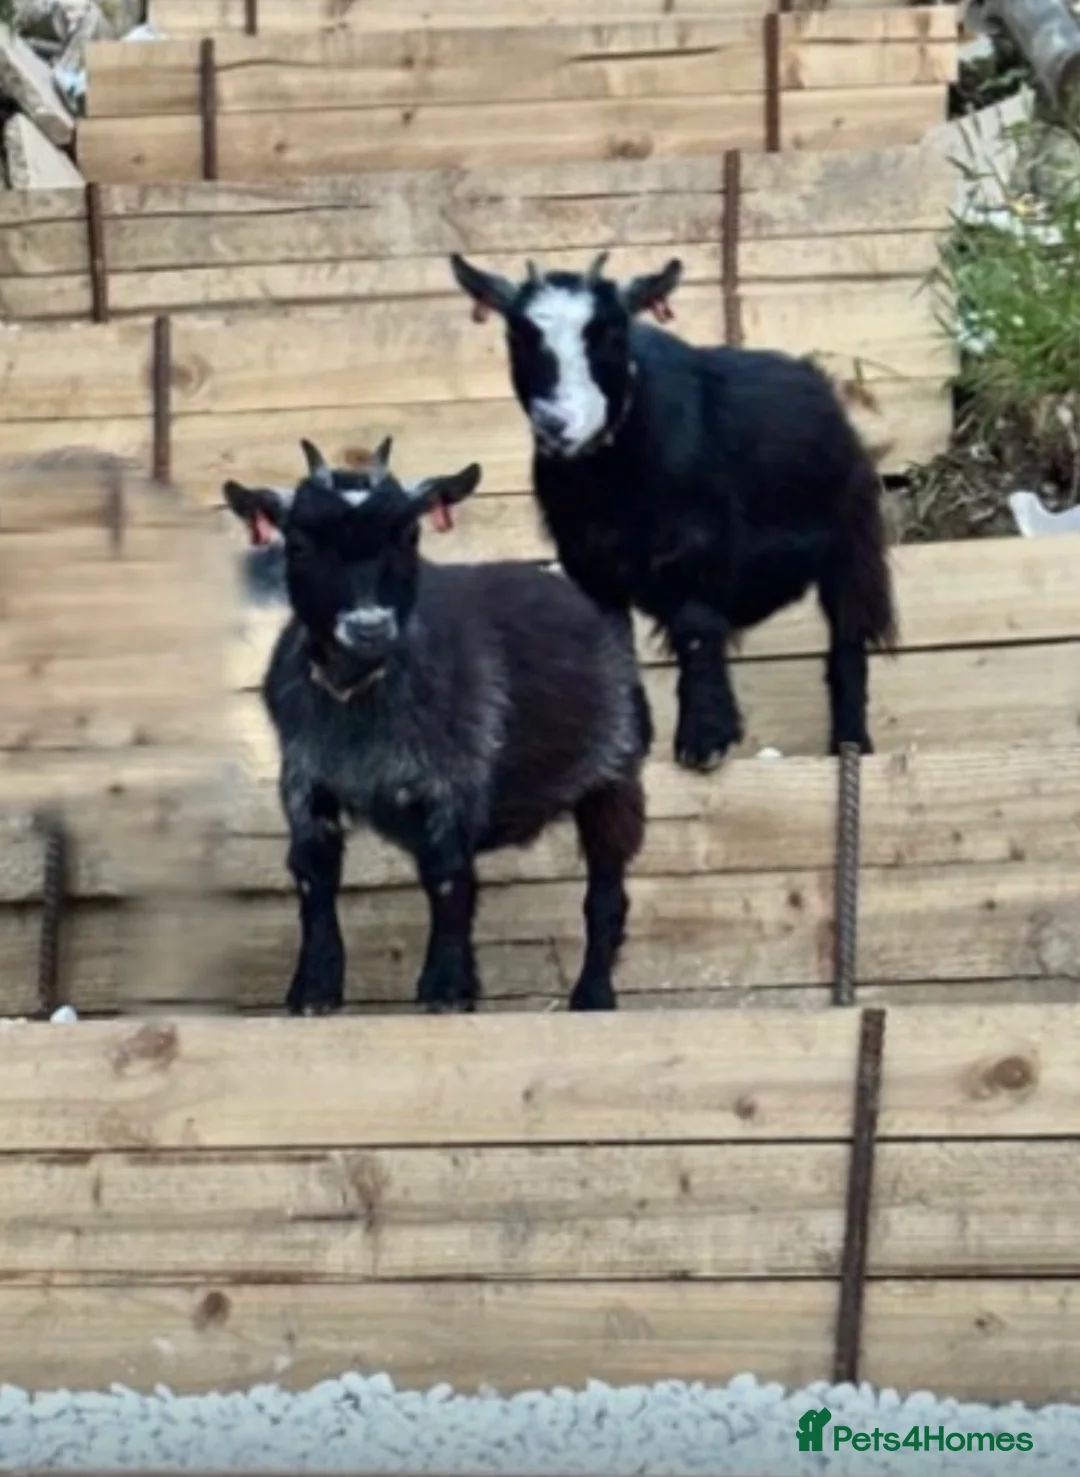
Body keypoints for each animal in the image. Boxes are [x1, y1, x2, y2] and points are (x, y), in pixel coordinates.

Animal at [222, 436, 649, 1016]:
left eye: (409, 534)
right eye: (300, 544)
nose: (369, 626)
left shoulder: (454, 778)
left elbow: (447, 877)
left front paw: (446, 990)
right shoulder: (305, 780)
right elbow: (315, 876)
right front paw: (313, 991)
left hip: (614, 772)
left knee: (606, 893)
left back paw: (593, 995)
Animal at [448, 251, 898, 772]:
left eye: (612, 332)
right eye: (517, 335)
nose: (558, 423)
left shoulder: (699, 546)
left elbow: (696, 629)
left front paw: (705, 740)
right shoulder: (588, 563)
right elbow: (615, 642)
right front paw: (628, 743)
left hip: (851, 544)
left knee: (848, 642)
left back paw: (851, 744)